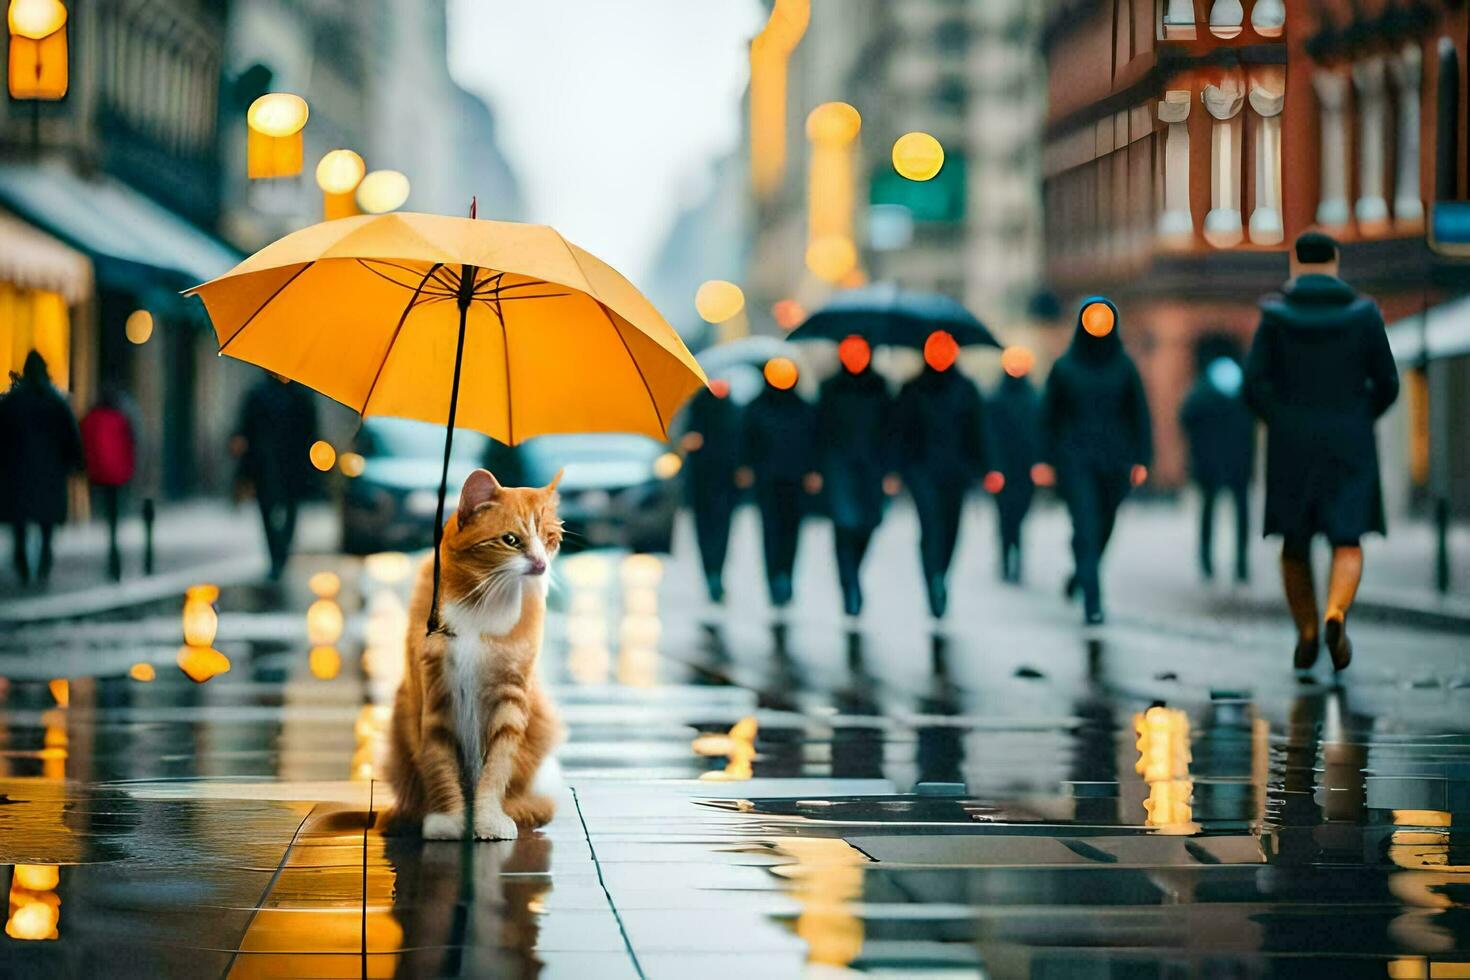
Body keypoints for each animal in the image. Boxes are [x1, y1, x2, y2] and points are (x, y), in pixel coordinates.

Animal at [385, 470, 561, 840]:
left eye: (549, 538)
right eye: (511, 540)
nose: (540, 564)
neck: (482, 604)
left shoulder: (511, 698)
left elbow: (497, 767)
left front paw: (488, 819)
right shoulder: (437, 695)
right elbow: (440, 762)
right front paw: (448, 818)